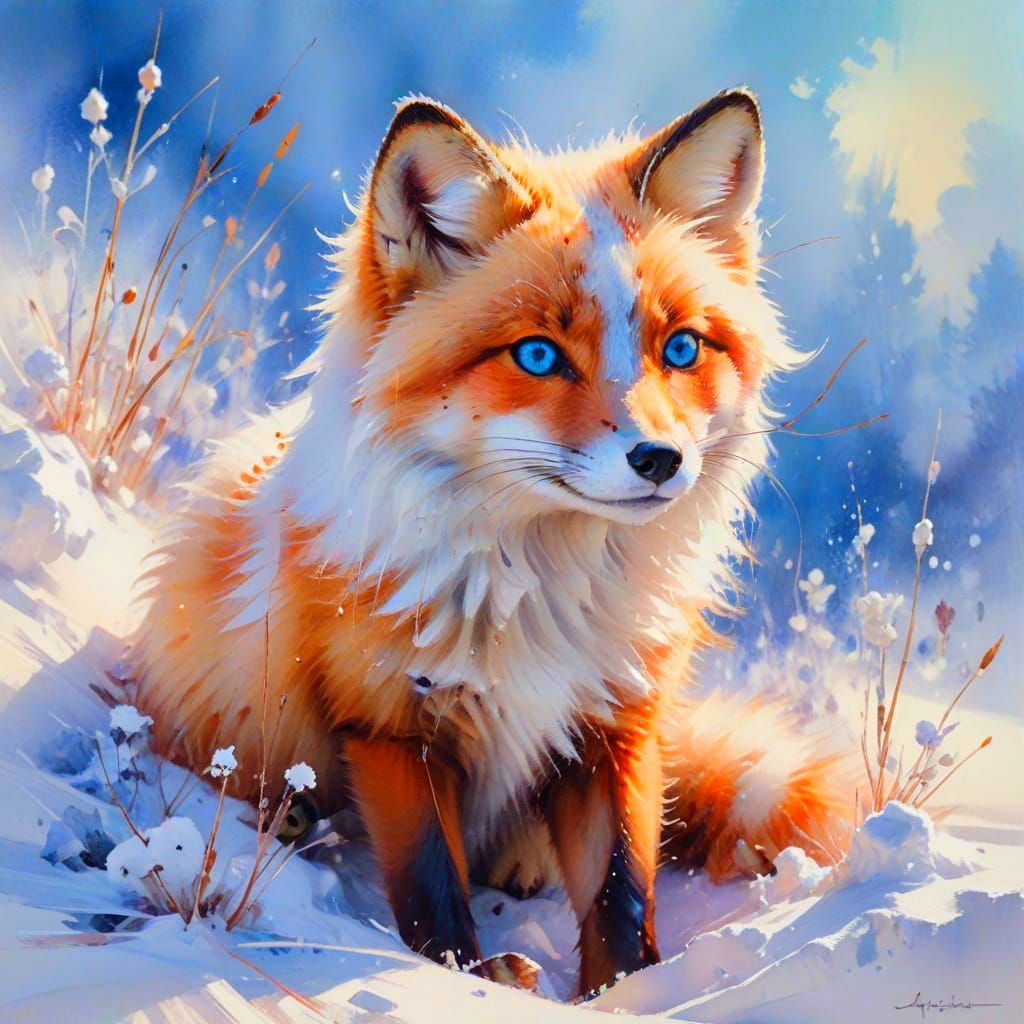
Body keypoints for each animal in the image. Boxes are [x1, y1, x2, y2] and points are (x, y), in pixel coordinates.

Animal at [132, 88, 850, 995]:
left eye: (681, 347)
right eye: (538, 355)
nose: (660, 460)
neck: (542, 591)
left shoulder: (615, 728)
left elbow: (622, 890)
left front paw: (629, 993)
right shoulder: (391, 725)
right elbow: (430, 883)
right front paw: (463, 977)